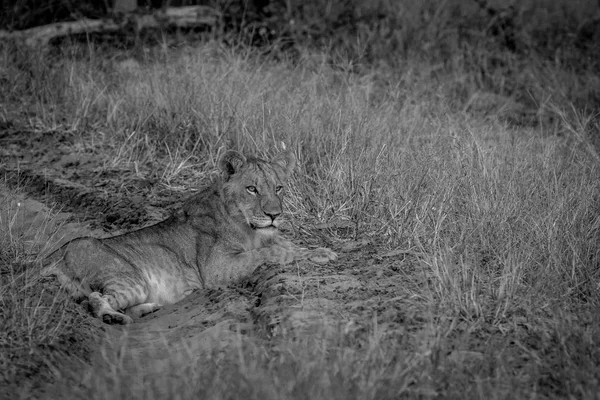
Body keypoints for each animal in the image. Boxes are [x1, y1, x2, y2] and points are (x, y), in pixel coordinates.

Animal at [42, 151, 338, 324]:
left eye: (278, 188)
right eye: (252, 189)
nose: (275, 215)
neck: (249, 228)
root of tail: (53, 257)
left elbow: (283, 244)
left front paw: (316, 249)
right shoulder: (217, 269)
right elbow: (271, 253)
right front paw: (318, 254)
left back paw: (150, 309)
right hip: (128, 277)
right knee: (94, 299)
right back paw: (113, 318)